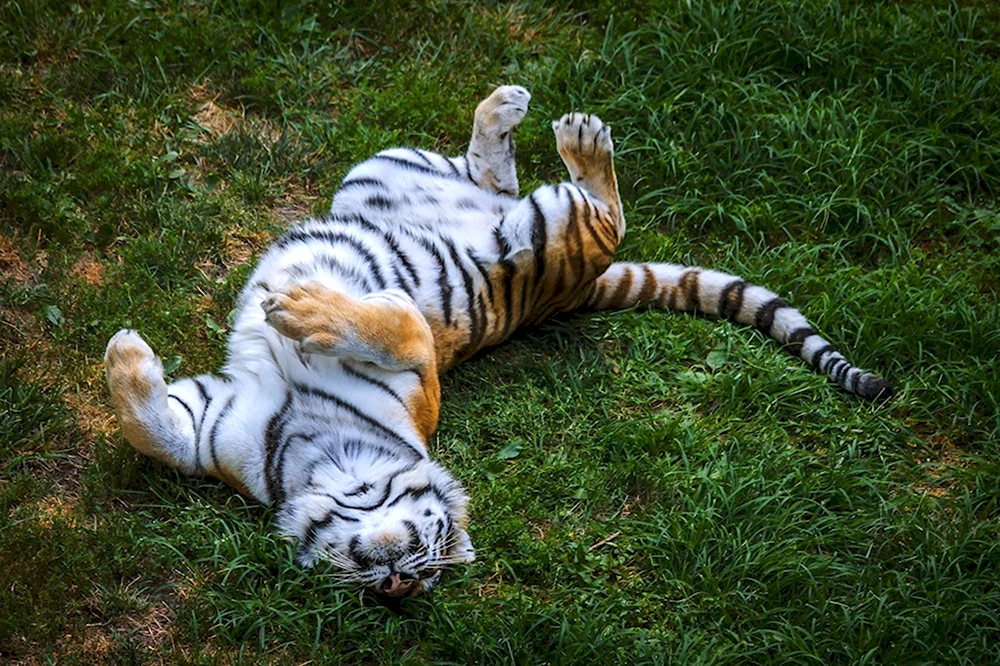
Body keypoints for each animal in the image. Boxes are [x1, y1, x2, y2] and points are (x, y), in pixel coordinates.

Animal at [104, 85, 891, 598]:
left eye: (424, 560)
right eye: (365, 579)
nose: (396, 577)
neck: (317, 464)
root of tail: (574, 291)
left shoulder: (421, 368)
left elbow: (392, 323)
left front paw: (303, 310)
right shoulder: (215, 424)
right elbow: (159, 435)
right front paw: (125, 356)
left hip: (545, 234)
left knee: (603, 211)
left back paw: (574, 132)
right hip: (387, 173)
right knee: (492, 176)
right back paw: (510, 110)